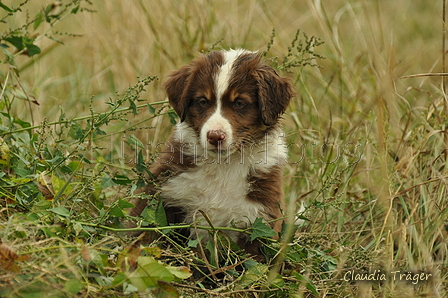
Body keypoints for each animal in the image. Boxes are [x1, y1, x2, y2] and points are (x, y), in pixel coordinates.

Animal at [130, 49, 294, 256]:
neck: (223, 165)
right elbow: (144, 232)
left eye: (239, 103)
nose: (215, 136)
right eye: (202, 101)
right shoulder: (163, 192)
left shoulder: (259, 217)